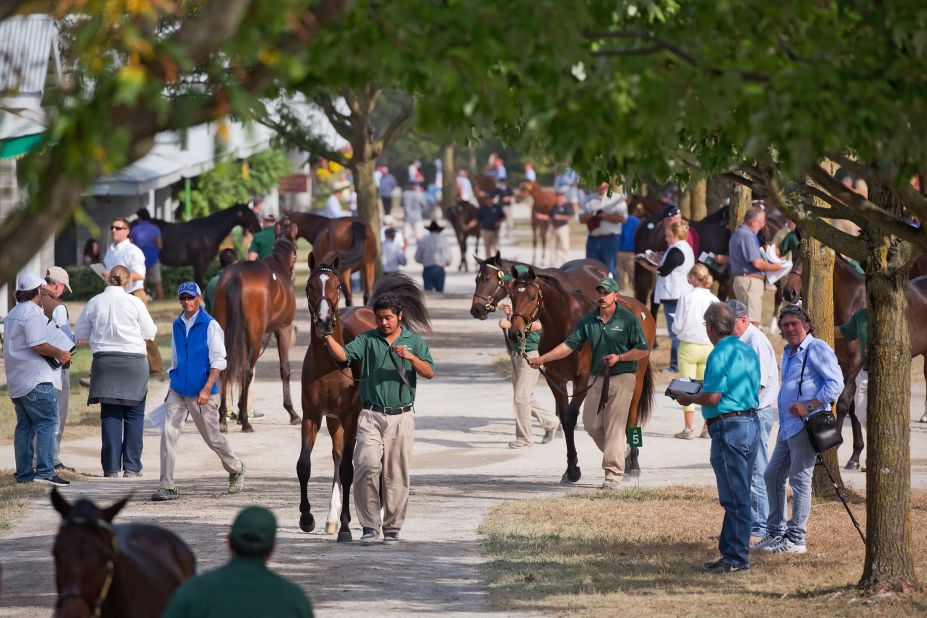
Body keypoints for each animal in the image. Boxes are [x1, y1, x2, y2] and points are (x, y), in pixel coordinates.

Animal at [215, 231, 300, 428]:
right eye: (295, 251)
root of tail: (236, 275)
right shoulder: (283, 329)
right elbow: (285, 369)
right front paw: (292, 412)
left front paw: (239, 411)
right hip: (256, 336)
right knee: (247, 370)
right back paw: (246, 422)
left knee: (225, 368)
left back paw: (223, 417)